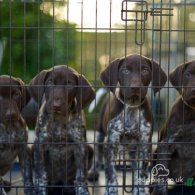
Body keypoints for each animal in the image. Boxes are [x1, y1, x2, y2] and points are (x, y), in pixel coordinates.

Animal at [28, 65, 95, 195]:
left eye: (69, 84)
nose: (56, 105)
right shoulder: (40, 145)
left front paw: (83, 191)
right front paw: (40, 191)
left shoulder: (80, 145)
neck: (59, 120)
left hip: (90, 149)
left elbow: (81, 175)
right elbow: (41, 175)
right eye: (49, 82)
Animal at [87, 53, 167, 195]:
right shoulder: (111, 144)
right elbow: (111, 173)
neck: (131, 106)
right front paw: (111, 191)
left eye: (145, 70)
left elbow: (140, 172)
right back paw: (93, 172)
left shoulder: (144, 144)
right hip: (99, 133)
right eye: (125, 71)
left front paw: (139, 190)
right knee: (98, 153)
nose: (135, 87)